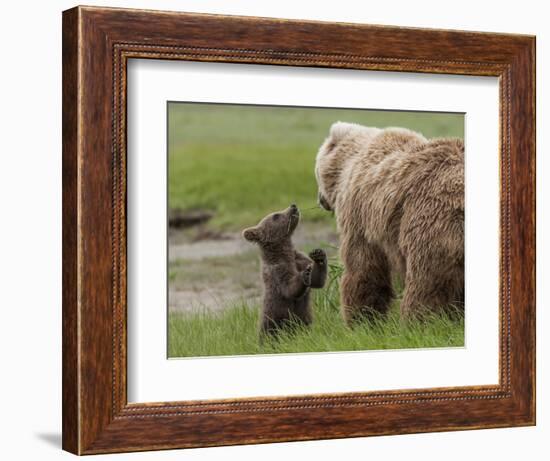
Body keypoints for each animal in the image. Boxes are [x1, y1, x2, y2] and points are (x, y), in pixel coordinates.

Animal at [314, 122, 466, 324]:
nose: (320, 200)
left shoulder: (359, 215)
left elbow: (363, 268)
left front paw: (361, 319)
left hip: (430, 219)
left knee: (427, 282)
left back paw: (418, 321)